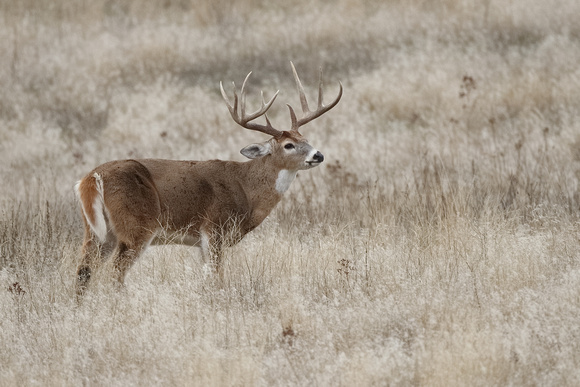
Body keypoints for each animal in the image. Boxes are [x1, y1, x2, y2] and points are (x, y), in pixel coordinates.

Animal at [74, 62, 342, 296]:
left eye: (305, 139)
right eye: (288, 145)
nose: (318, 155)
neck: (246, 189)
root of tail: (92, 178)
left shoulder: (202, 242)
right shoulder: (214, 229)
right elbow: (216, 278)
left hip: (98, 230)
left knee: (84, 270)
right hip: (136, 226)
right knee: (114, 274)